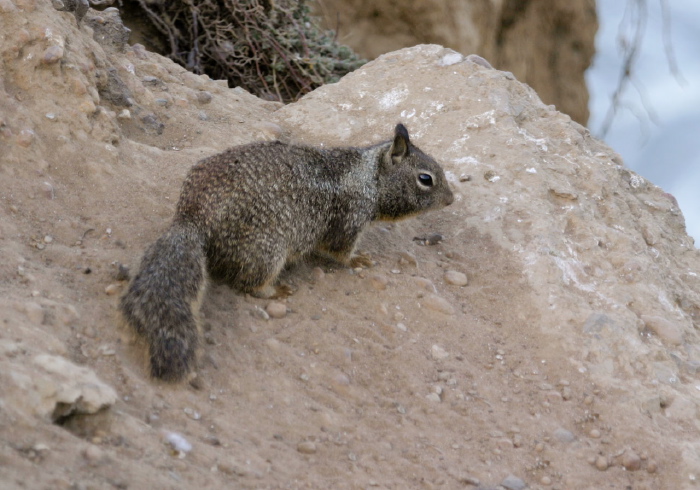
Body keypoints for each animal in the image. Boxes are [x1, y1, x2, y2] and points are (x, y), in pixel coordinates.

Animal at [119, 123, 454, 382]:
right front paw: (359, 259)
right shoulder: (349, 218)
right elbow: (340, 250)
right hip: (267, 249)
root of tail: (191, 217)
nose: (451, 200)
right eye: (426, 178)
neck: (368, 175)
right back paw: (276, 290)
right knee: (248, 283)